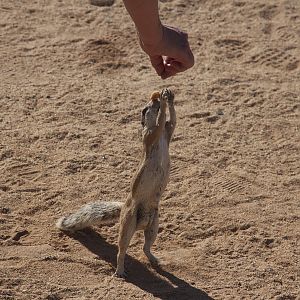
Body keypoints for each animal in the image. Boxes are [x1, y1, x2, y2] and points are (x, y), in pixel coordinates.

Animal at [56, 88, 176, 278]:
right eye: (145, 109)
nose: (155, 100)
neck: (160, 133)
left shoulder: (168, 131)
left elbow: (173, 121)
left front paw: (170, 97)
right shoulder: (151, 134)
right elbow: (161, 121)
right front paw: (164, 103)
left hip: (154, 225)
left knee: (145, 247)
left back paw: (155, 259)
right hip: (128, 223)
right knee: (121, 250)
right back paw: (119, 271)